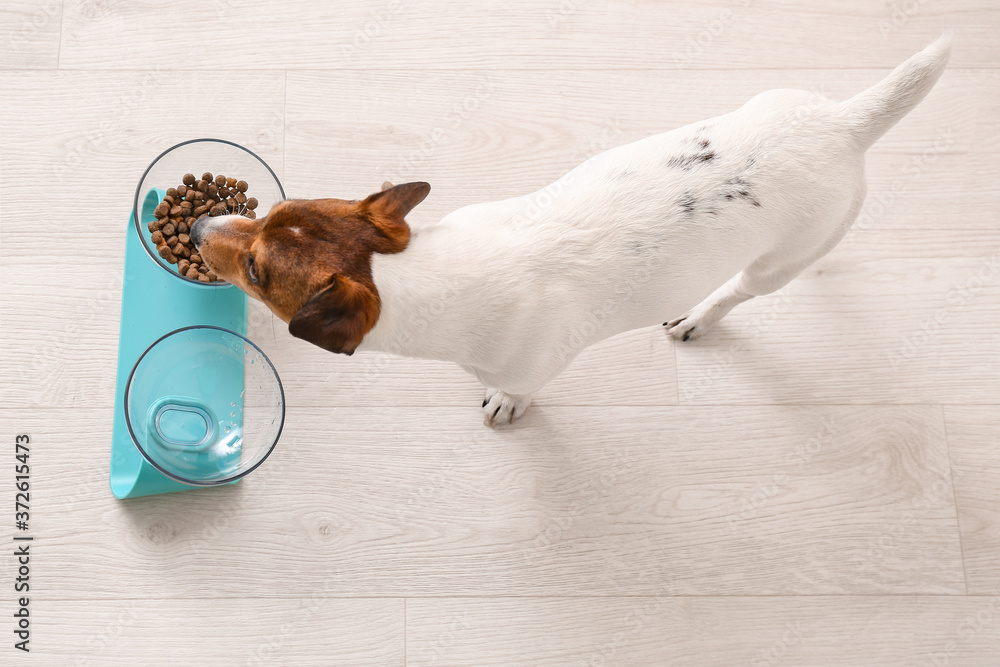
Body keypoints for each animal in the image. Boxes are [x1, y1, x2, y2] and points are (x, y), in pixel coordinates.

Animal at [193, 32, 952, 428]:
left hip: (785, 259)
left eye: (257, 271)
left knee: (740, 290)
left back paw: (699, 316)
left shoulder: (532, 363)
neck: (417, 273)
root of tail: (844, 123)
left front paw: (507, 403)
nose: (200, 225)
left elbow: (519, 390)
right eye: (266, 214)